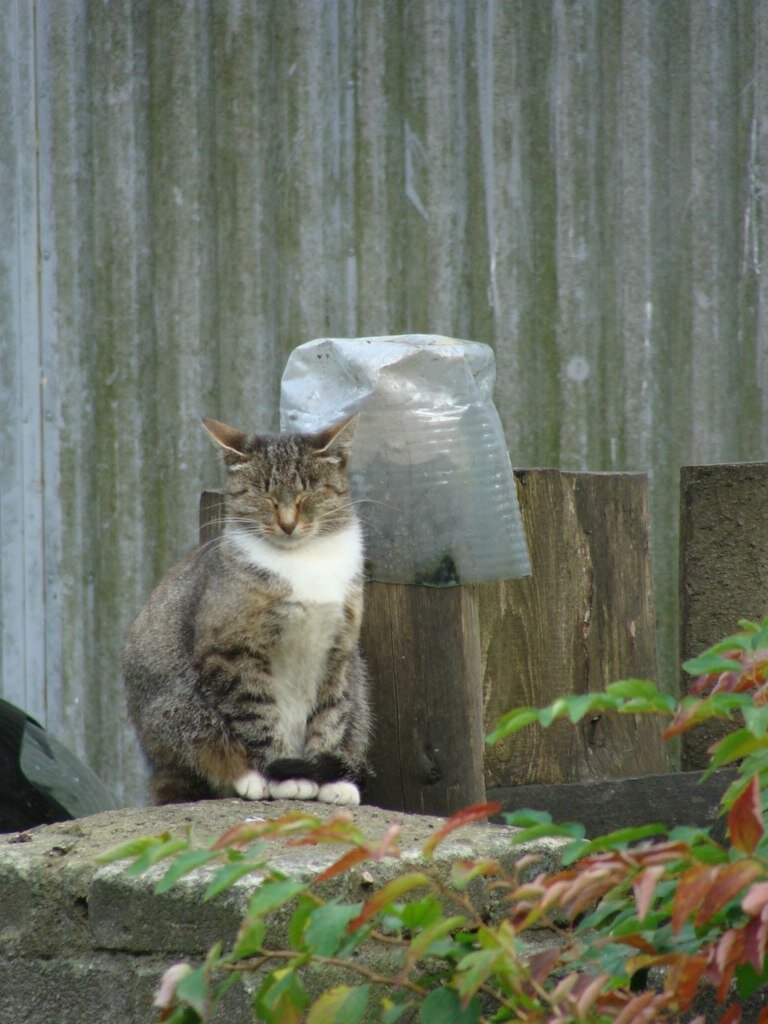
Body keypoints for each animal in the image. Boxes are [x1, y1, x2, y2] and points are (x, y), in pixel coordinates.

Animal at [122, 415, 370, 806]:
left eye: (309, 490)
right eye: (262, 493)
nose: (287, 523)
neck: (305, 561)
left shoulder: (339, 651)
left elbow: (331, 715)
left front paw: (325, 775)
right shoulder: (233, 652)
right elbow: (257, 714)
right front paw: (286, 774)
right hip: (178, 707)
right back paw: (250, 777)